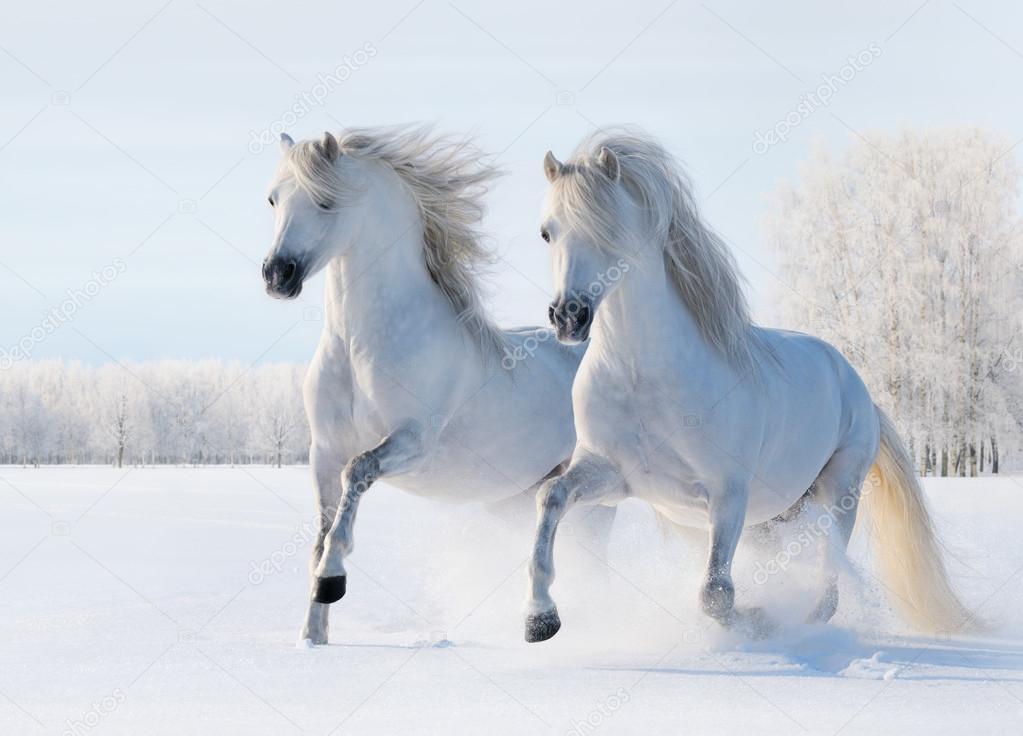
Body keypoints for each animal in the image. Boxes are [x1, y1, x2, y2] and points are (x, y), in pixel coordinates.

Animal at [263, 129, 609, 646]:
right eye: (273, 199)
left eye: (326, 201)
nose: (276, 275)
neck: (359, 348)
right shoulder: (322, 452)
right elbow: (321, 535)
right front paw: (313, 636)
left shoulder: (412, 442)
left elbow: (357, 475)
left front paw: (332, 581)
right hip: (517, 497)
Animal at [527, 129, 973, 642]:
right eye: (547, 231)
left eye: (609, 228)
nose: (569, 316)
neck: (643, 377)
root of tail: (858, 387)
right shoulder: (612, 476)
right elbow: (550, 497)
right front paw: (539, 618)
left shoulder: (728, 495)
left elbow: (716, 594)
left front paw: (759, 621)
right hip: (776, 515)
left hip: (839, 492)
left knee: (829, 583)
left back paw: (804, 625)